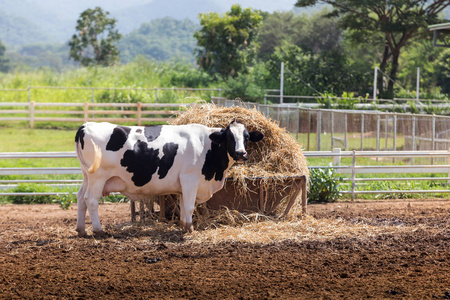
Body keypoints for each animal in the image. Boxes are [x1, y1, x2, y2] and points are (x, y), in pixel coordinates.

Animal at [74, 120, 264, 236]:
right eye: (229, 137)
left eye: (246, 137)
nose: (241, 154)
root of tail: (85, 126)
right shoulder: (190, 179)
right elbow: (189, 207)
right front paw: (190, 229)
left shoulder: (182, 186)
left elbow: (182, 206)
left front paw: (183, 226)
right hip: (98, 177)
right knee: (91, 200)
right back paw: (98, 230)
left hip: (86, 176)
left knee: (80, 198)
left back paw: (81, 230)